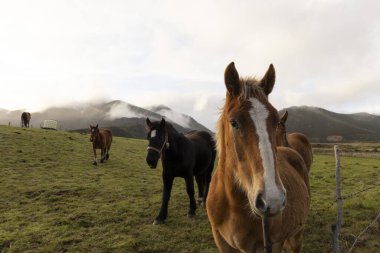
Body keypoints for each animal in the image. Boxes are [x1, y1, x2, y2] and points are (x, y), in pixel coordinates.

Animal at [206, 62, 310, 252]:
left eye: (276, 121)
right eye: (234, 122)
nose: (272, 200)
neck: (232, 204)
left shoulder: (271, 244)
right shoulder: (221, 241)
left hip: (297, 235)